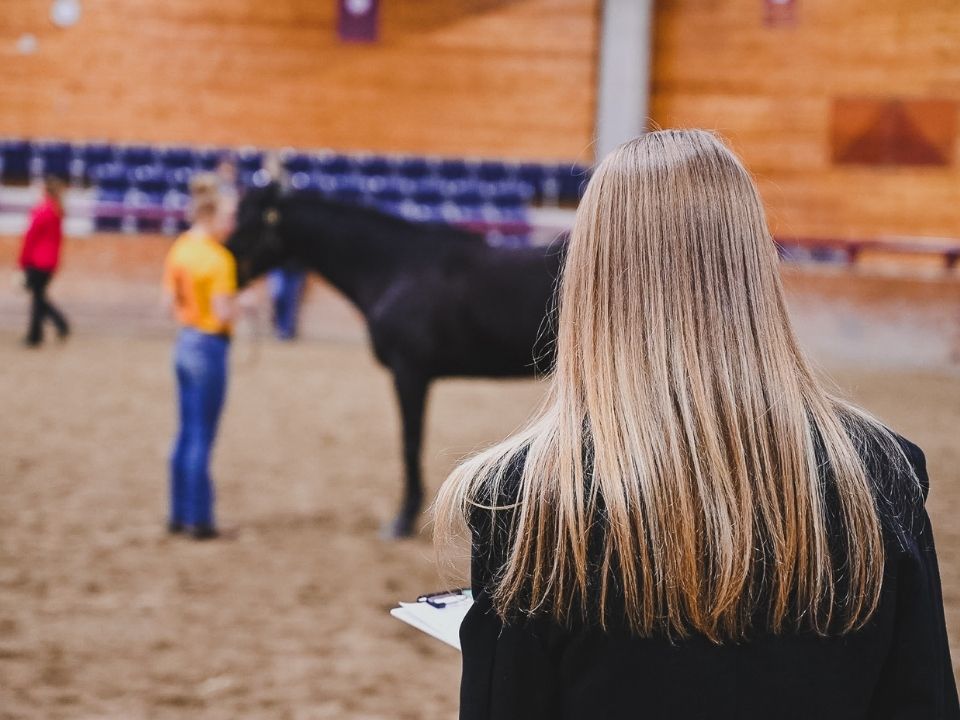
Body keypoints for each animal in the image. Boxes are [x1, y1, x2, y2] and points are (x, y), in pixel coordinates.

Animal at [228, 183, 568, 536]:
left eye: (248, 222)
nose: (226, 270)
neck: (395, 267)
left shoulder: (409, 374)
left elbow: (410, 443)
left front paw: (403, 518)